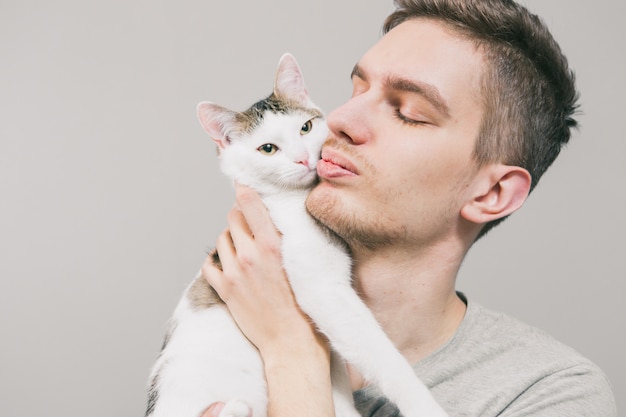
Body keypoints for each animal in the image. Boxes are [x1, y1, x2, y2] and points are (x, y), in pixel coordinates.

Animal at [144, 54, 446, 416]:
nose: (303, 159)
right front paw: (426, 405)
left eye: (306, 128)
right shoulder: (324, 290)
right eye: (268, 149)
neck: (297, 199)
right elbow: (383, 357)